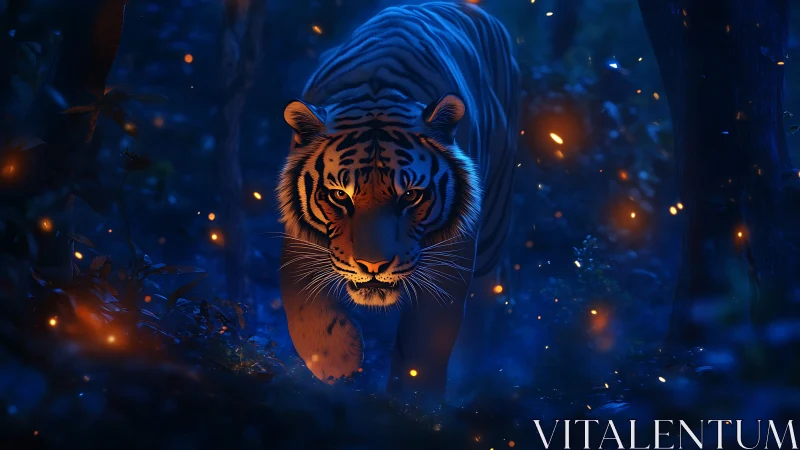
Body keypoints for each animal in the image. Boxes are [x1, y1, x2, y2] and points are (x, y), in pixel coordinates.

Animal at [277, 1, 520, 395]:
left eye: (411, 196)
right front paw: (337, 363)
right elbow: (302, 307)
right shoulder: (298, 241)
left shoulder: (451, 257)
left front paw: (412, 402)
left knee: (484, 299)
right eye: (339, 195)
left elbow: (425, 342)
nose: (372, 266)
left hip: (494, 226)